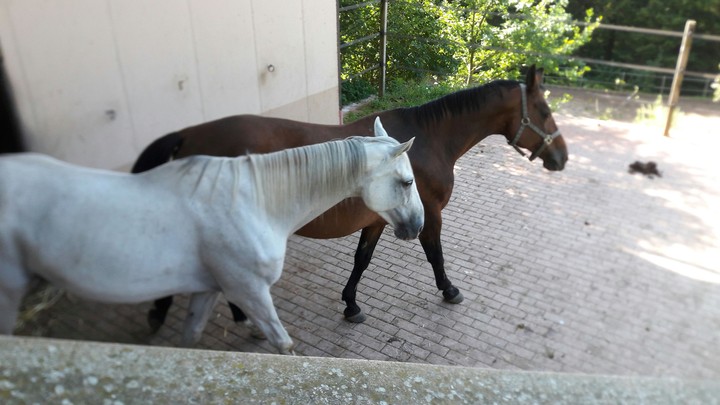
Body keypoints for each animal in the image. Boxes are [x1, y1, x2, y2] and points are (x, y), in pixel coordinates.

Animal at [0, 118, 423, 354]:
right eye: (407, 181)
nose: (419, 225)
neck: (253, 201)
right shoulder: (251, 290)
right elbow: (284, 344)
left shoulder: (207, 290)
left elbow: (191, 339)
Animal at [133, 64, 567, 327]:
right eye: (545, 112)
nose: (562, 157)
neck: (427, 141)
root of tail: (189, 135)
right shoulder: (429, 215)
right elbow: (435, 255)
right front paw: (449, 290)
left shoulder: (379, 221)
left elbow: (362, 261)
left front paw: (351, 304)